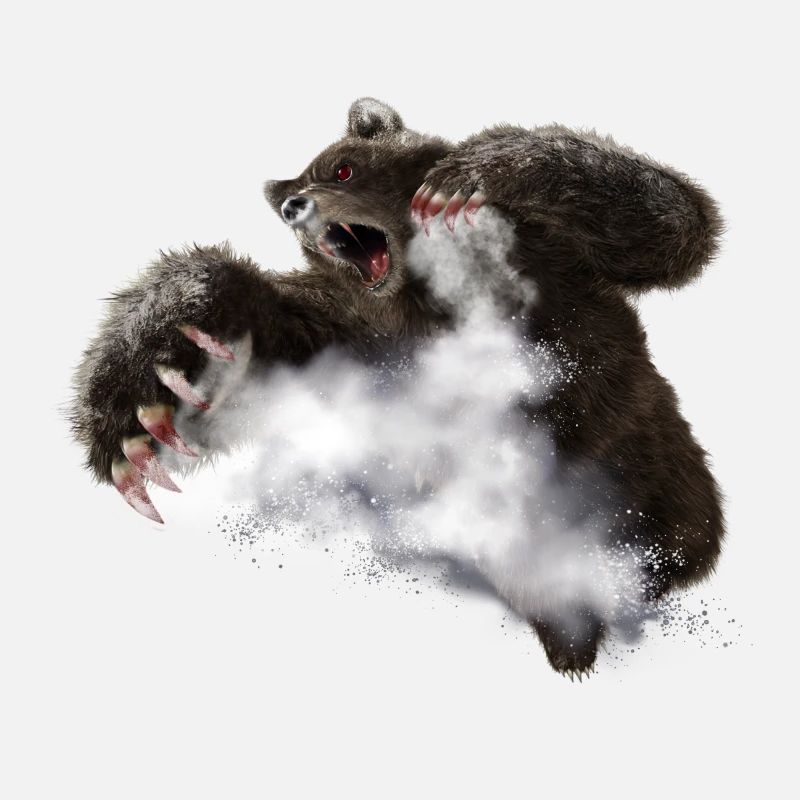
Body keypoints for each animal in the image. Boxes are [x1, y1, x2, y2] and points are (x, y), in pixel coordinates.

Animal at [70, 97, 724, 677]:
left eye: (342, 167)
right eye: (288, 199)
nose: (297, 205)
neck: (421, 290)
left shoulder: (554, 265)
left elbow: (668, 222)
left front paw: (468, 172)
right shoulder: (345, 337)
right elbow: (241, 362)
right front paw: (140, 405)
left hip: (654, 476)